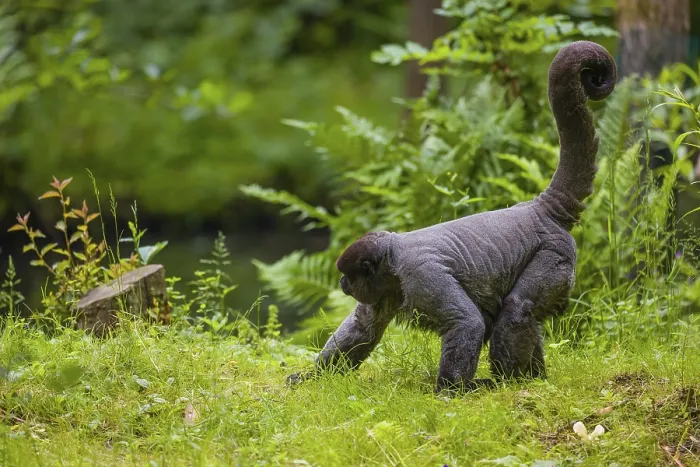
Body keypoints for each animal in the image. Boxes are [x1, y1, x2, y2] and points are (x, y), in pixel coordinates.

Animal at [287, 41, 617, 394]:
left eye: (349, 275)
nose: (342, 283)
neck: (392, 260)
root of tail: (537, 209)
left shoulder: (420, 274)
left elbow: (466, 322)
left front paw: (447, 390)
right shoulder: (387, 289)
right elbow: (362, 329)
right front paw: (309, 377)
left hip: (555, 255)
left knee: (518, 308)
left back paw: (507, 381)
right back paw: (533, 377)